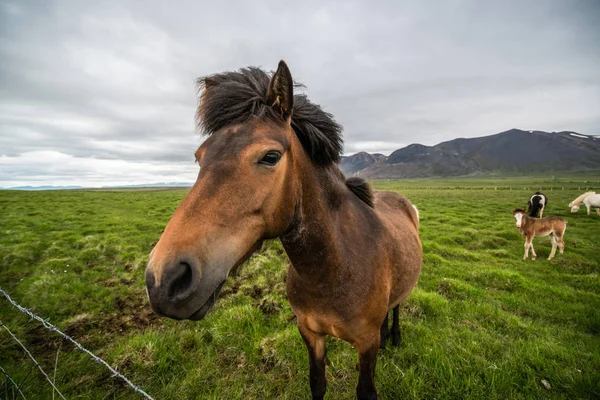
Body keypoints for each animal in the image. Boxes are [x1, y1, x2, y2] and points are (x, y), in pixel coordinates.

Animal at [144, 61, 422, 398]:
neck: (333, 268)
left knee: (397, 306)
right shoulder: (309, 333)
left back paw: (395, 336)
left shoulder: (365, 344)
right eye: (199, 157)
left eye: (271, 156)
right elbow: (317, 384)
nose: (164, 279)